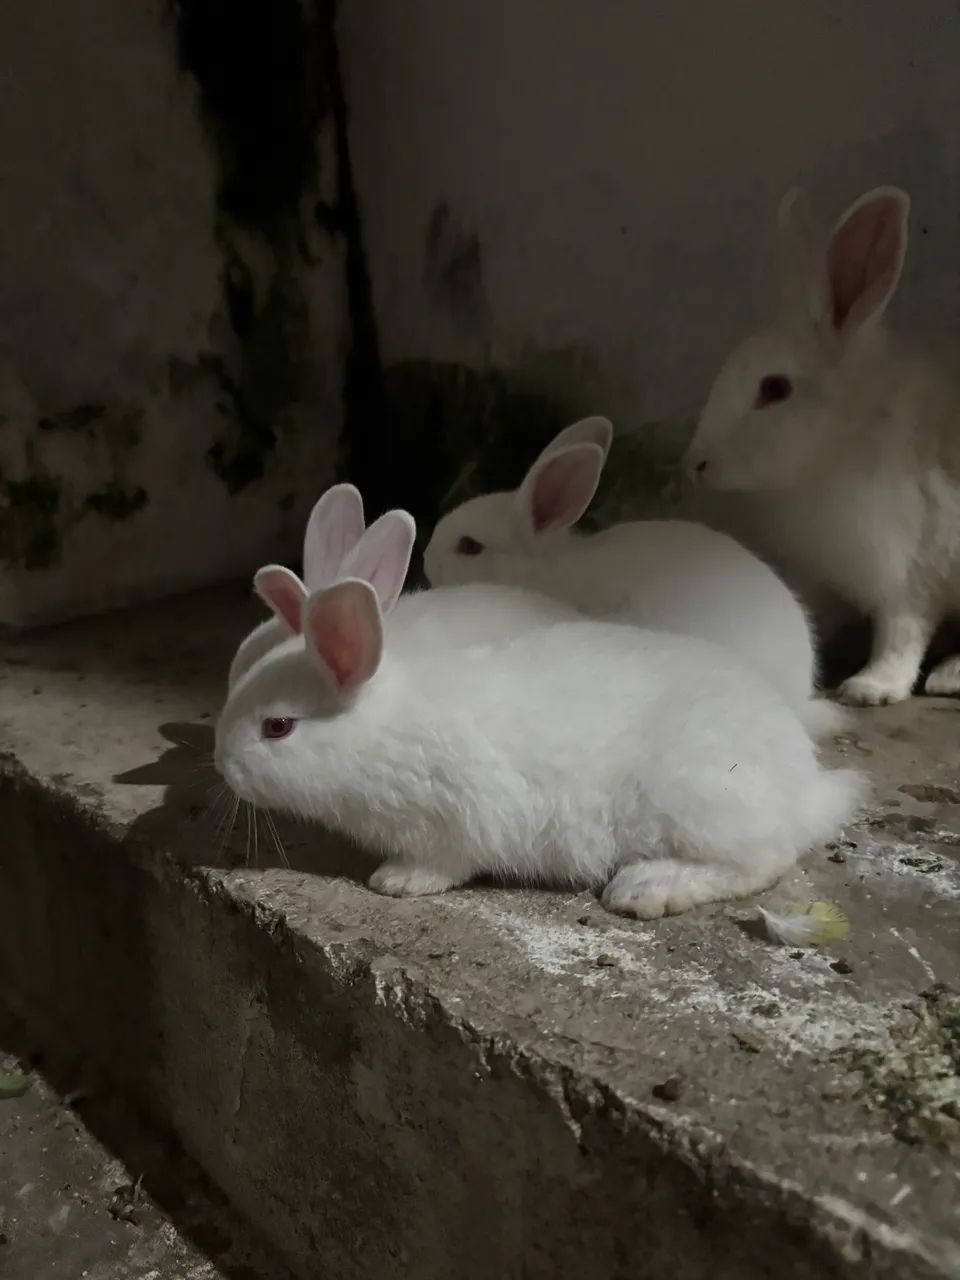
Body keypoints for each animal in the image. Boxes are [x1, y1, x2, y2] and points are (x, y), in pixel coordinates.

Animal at [216, 553, 866, 919]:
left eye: (277, 727)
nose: (222, 765)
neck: (377, 735)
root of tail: (805, 784)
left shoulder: (458, 820)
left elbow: (442, 864)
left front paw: (395, 883)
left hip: (702, 801)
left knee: (763, 860)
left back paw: (645, 888)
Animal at [685, 184, 960, 706]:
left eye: (774, 388)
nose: (698, 463)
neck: (842, 442)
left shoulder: (911, 572)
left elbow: (901, 635)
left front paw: (870, 688)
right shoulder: (821, 579)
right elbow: (808, 614)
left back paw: (949, 677)